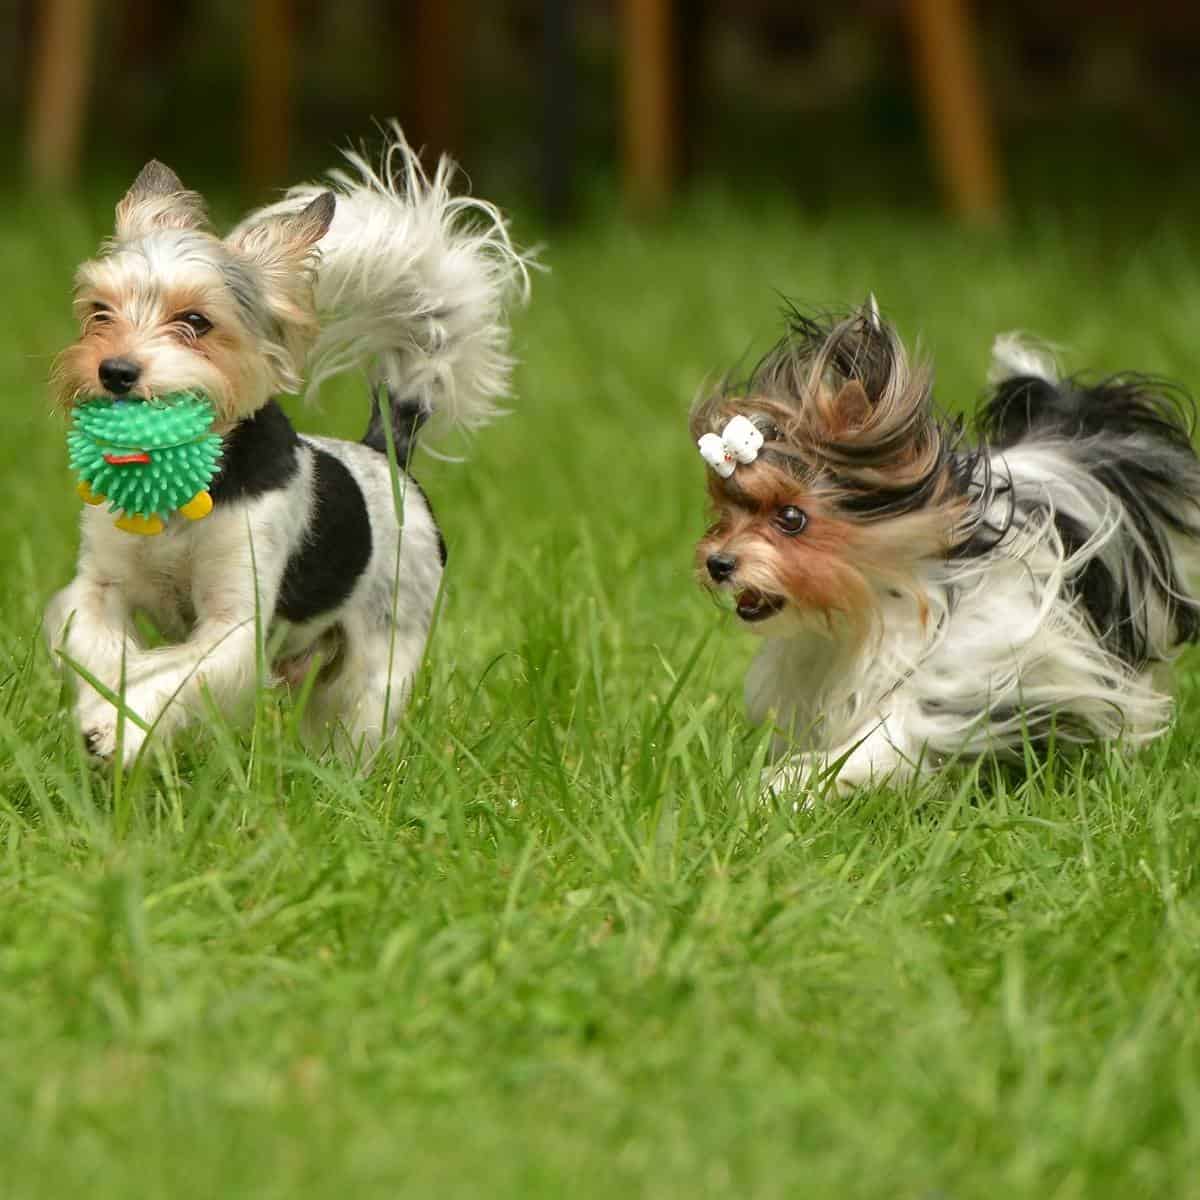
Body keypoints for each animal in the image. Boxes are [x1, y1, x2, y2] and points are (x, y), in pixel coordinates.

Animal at [48, 126, 525, 763]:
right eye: (99, 313)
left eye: (196, 322)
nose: (115, 371)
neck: (186, 496)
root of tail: (386, 451)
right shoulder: (100, 585)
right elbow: (101, 646)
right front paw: (106, 706)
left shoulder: (235, 622)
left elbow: (176, 675)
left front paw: (121, 725)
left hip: (378, 661)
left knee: (358, 718)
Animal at [691, 304, 1200, 792]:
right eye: (725, 511)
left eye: (791, 518)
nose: (718, 563)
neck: (876, 602)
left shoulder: (963, 668)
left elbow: (885, 738)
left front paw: (790, 786)